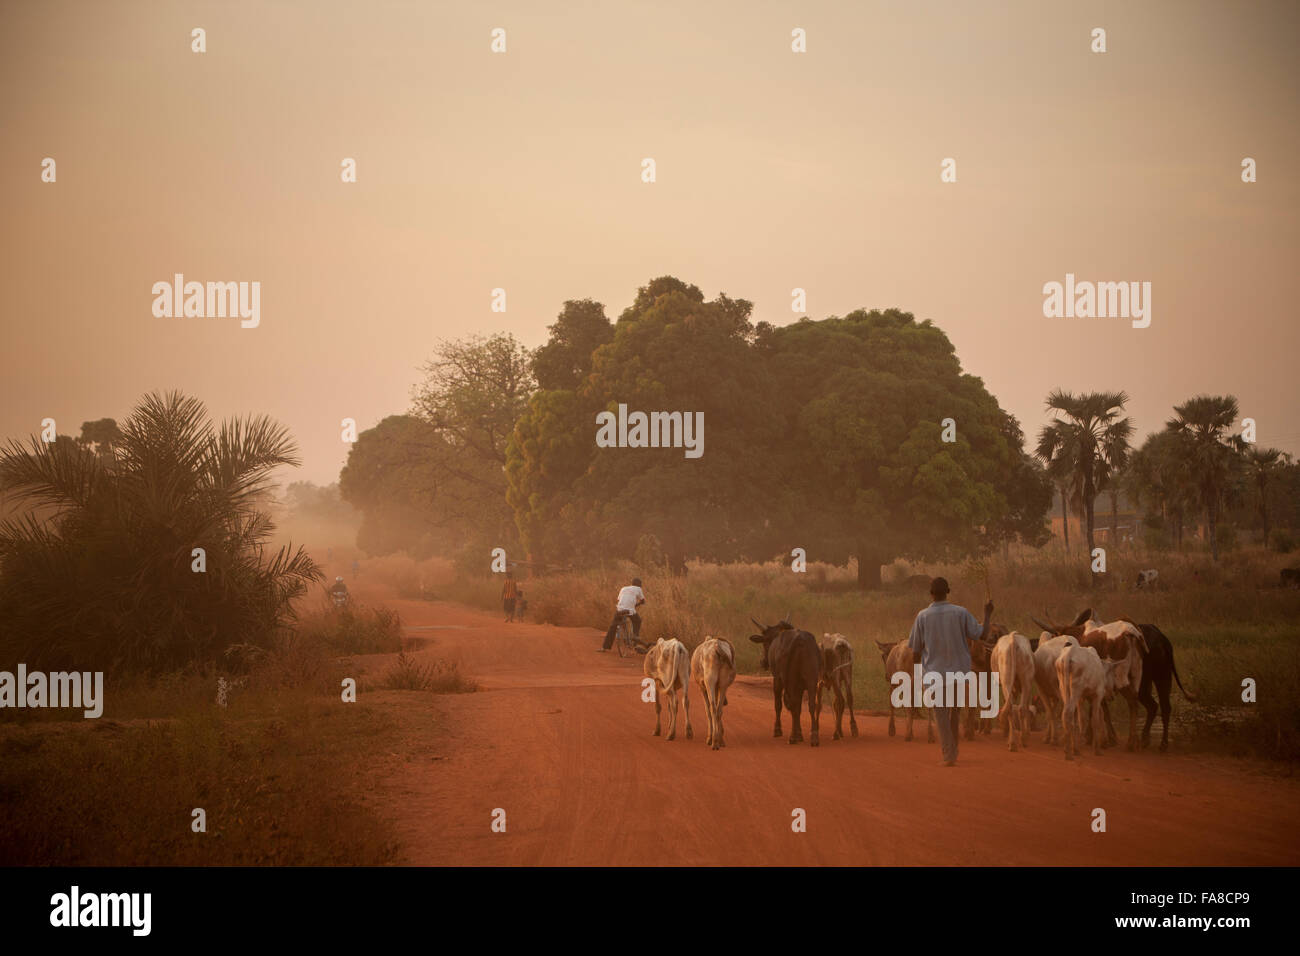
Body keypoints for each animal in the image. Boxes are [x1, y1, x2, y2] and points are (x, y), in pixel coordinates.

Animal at [754, 621, 821, 749]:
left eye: (765, 641)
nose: (763, 662)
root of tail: (799, 639)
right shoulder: (800, 687)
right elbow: (799, 708)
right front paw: (799, 733)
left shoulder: (777, 681)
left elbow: (778, 705)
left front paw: (778, 730)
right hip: (812, 680)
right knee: (811, 705)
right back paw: (814, 737)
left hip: (790, 681)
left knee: (792, 704)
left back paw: (792, 737)